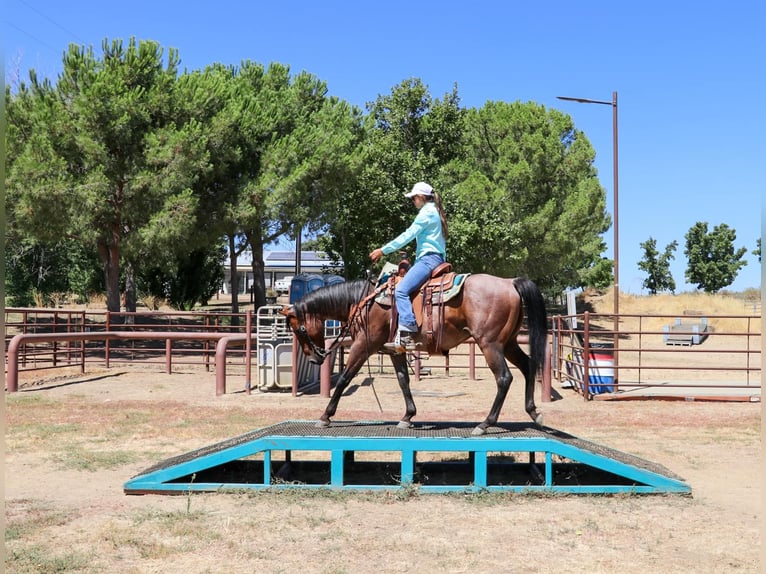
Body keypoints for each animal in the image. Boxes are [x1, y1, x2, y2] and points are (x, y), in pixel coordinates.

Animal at [280, 273, 548, 436]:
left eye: (300, 329)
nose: (315, 358)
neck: (365, 302)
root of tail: (510, 282)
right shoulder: (393, 350)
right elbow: (403, 380)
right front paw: (408, 416)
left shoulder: (363, 345)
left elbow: (345, 378)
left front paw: (325, 416)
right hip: (508, 343)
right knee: (528, 366)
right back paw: (534, 412)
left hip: (490, 344)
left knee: (504, 378)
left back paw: (485, 423)